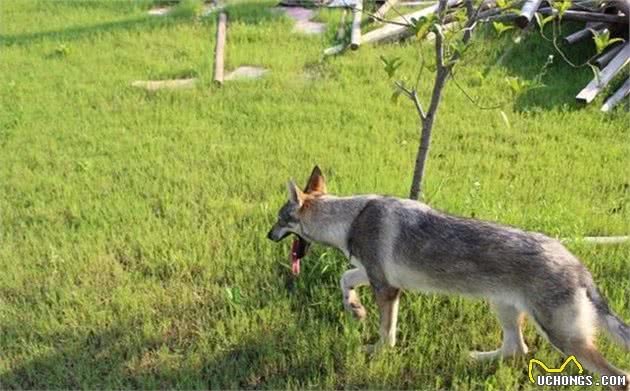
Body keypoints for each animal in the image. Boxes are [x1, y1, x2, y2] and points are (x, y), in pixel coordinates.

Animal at [268, 167, 630, 390]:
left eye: (280, 220)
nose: (268, 235)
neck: (352, 218)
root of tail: (578, 265)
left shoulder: (387, 289)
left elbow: (387, 334)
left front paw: (378, 350)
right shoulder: (376, 277)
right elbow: (345, 280)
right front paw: (355, 309)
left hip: (563, 338)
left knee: (619, 376)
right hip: (504, 309)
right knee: (517, 349)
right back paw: (478, 357)